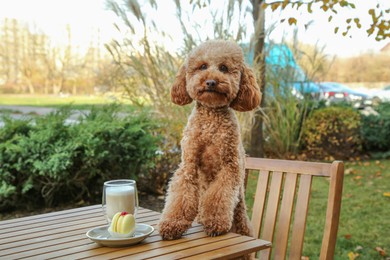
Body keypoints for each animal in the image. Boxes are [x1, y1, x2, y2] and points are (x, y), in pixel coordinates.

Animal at [158, 39, 262, 241]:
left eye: (224, 68)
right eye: (202, 66)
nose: (211, 81)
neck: (211, 119)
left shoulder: (230, 166)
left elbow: (219, 196)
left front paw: (215, 223)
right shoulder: (189, 164)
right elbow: (181, 195)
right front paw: (172, 224)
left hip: (241, 216)